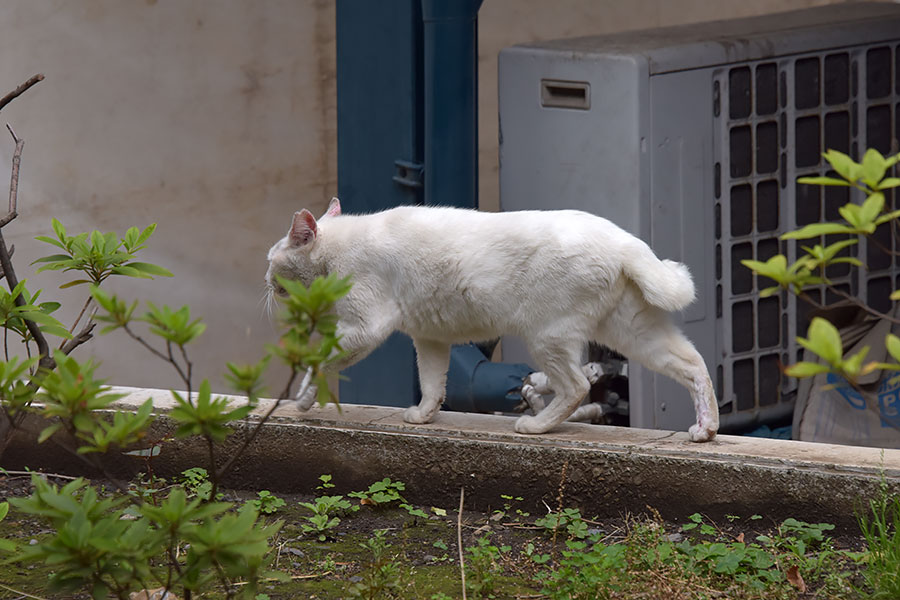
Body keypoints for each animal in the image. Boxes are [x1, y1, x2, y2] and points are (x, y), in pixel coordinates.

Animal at [266, 199, 716, 442]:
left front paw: (302, 401)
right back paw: (707, 428)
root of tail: (625, 241)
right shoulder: (429, 338)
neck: (339, 249)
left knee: (577, 386)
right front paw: (424, 416)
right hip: (633, 330)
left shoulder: (364, 328)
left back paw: (536, 425)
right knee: (694, 363)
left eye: (272, 260)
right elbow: (434, 383)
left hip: (547, 336)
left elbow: (318, 362)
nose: (265, 279)